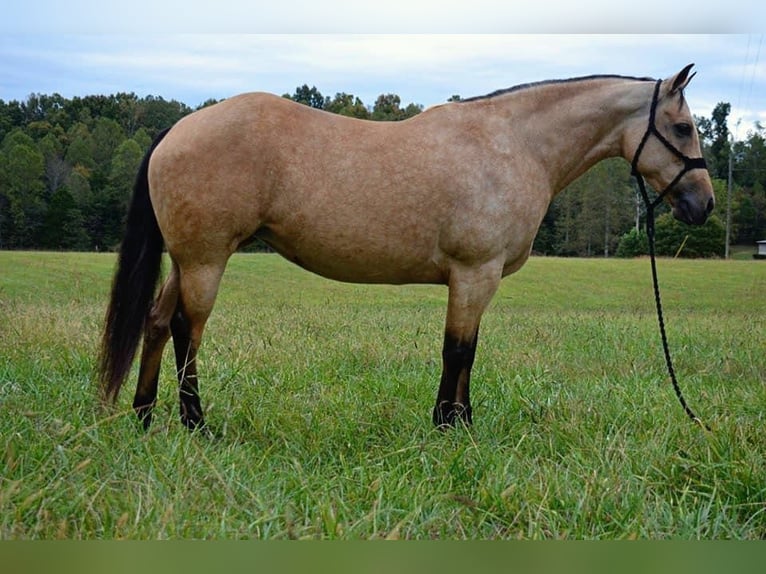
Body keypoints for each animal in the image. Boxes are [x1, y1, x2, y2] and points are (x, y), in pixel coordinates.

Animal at [99, 64, 716, 432]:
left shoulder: (477, 280)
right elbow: (458, 351)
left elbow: (468, 350)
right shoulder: (474, 273)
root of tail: (178, 128)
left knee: (157, 322)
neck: (513, 144)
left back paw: (144, 416)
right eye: (683, 128)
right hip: (207, 259)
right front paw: (449, 425)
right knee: (187, 329)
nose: (703, 204)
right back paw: (195, 423)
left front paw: (462, 420)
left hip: (186, 260)